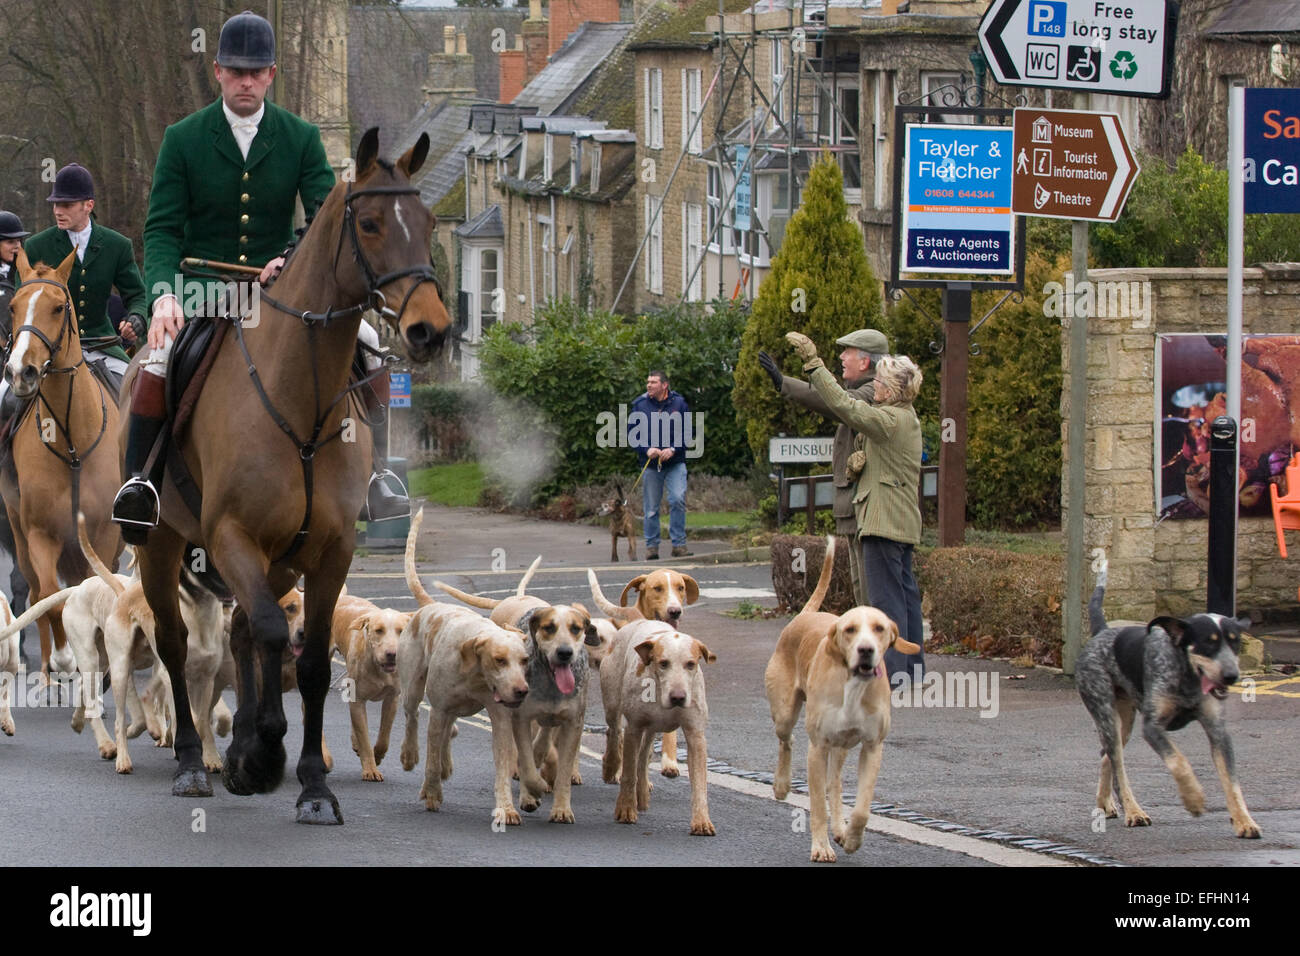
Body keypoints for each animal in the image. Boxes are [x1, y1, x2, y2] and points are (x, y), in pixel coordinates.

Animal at [1, 247, 123, 681]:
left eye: (58, 307)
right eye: (13, 307)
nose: (20, 372)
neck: (71, 440)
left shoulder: (103, 534)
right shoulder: (41, 534)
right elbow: (50, 597)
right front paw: (65, 658)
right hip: (19, 533)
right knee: (37, 591)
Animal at [126, 125, 449, 822]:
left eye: (430, 222)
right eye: (372, 224)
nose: (430, 330)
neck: (298, 394)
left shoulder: (331, 550)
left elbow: (310, 661)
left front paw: (308, 783)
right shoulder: (231, 537)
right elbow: (276, 633)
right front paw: (263, 754)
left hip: (276, 560)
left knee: (247, 631)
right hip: (163, 545)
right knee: (177, 641)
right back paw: (193, 760)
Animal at [1076, 572, 1258, 842]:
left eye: (1235, 643)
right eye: (1208, 643)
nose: (1231, 676)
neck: (1188, 676)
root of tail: (1102, 632)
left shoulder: (1218, 732)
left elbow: (1232, 782)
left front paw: (1244, 822)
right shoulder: (1152, 728)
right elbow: (1178, 762)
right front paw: (1193, 799)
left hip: (1124, 722)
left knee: (1106, 756)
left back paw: (1106, 804)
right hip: (1106, 714)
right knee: (1119, 767)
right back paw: (1134, 811)